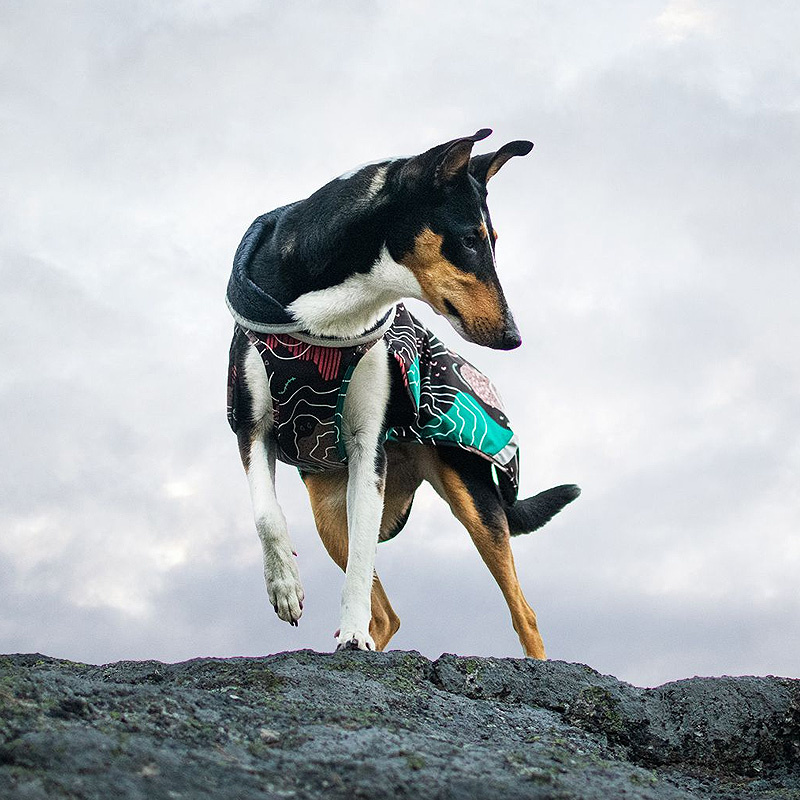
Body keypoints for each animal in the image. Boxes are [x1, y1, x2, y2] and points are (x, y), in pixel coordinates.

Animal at [225, 130, 580, 656]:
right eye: (470, 239)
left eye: (493, 241)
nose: (514, 336)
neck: (330, 321)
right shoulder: (251, 425)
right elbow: (267, 517)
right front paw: (285, 588)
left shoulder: (367, 445)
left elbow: (359, 568)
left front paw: (352, 634)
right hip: (329, 512)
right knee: (387, 614)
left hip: (470, 495)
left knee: (525, 615)